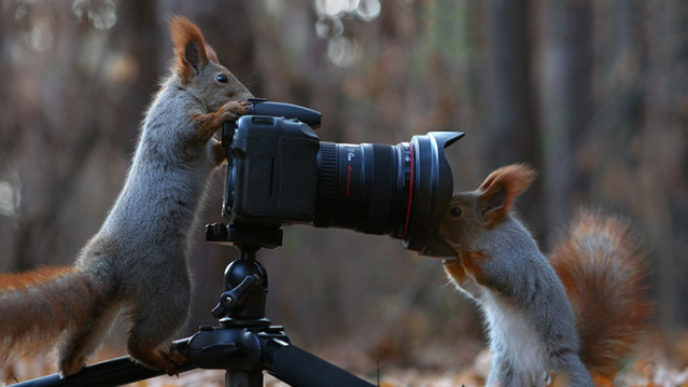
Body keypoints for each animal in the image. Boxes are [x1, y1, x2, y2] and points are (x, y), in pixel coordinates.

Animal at [0, 16, 253, 378]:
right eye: (222, 78)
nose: (251, 97)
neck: (183, 91)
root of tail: (108, 267)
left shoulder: (204, 151)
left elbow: (215, 153)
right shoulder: (175, 122)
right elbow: (193, 130)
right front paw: (229, 110)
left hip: (101, 310)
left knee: (80, 338)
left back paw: (72, 365)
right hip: (169, 289)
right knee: (137, 343)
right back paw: (163, 358)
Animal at [440, 164, 652, 387]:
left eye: (456, 211)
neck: (487, 235)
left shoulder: (515, 261)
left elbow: (498, 273)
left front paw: (464, 254)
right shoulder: (481, 288)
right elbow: (470, 286)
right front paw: (452, 262)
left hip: (566, 375)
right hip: (504, 377)